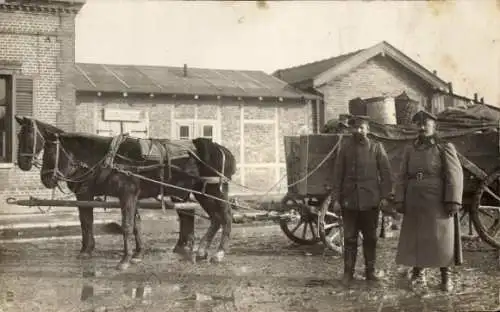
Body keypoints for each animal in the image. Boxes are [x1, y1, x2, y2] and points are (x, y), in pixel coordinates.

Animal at [13, 116, 236, 270]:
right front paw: (135, 254)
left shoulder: (121, 195)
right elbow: (131, 224)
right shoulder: (122, 197)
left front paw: (124, 259)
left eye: (50, 151)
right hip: (201, 192)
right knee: (214, 218)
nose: (45, 178)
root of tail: (221, 149)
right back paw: (201, 250)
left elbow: (122, 225)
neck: (104, 157)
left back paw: (219, 252)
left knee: (226, 216)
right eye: (18, 135)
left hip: (215, 190)